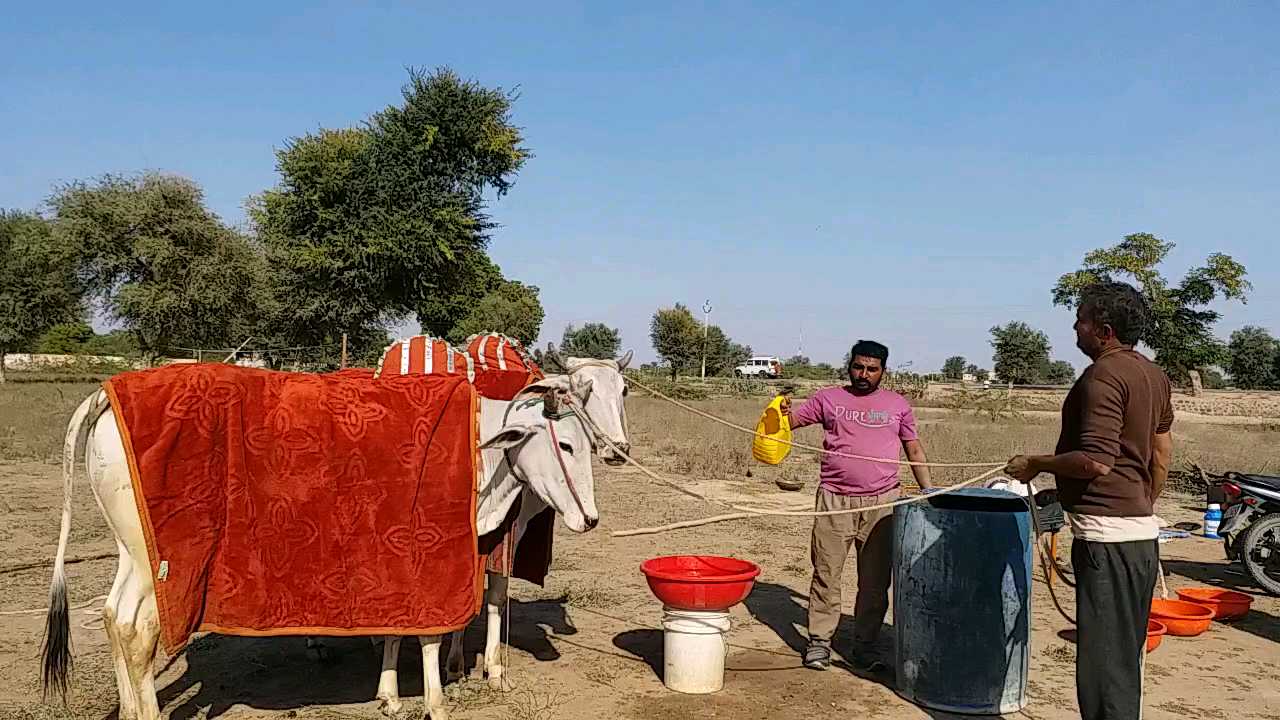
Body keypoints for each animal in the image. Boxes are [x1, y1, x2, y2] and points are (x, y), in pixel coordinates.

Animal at [40, 379, 599, 712]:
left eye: (588, 443)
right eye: (565, 443)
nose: (591, 518)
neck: (474, 447)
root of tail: (108, 392)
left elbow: (398, 628)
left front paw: (389, 696)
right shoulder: (423, 551)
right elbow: (427, 633)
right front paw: (434, 703)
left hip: (130, 554)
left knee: (113, 617)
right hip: (159, 562)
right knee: (137, 632)